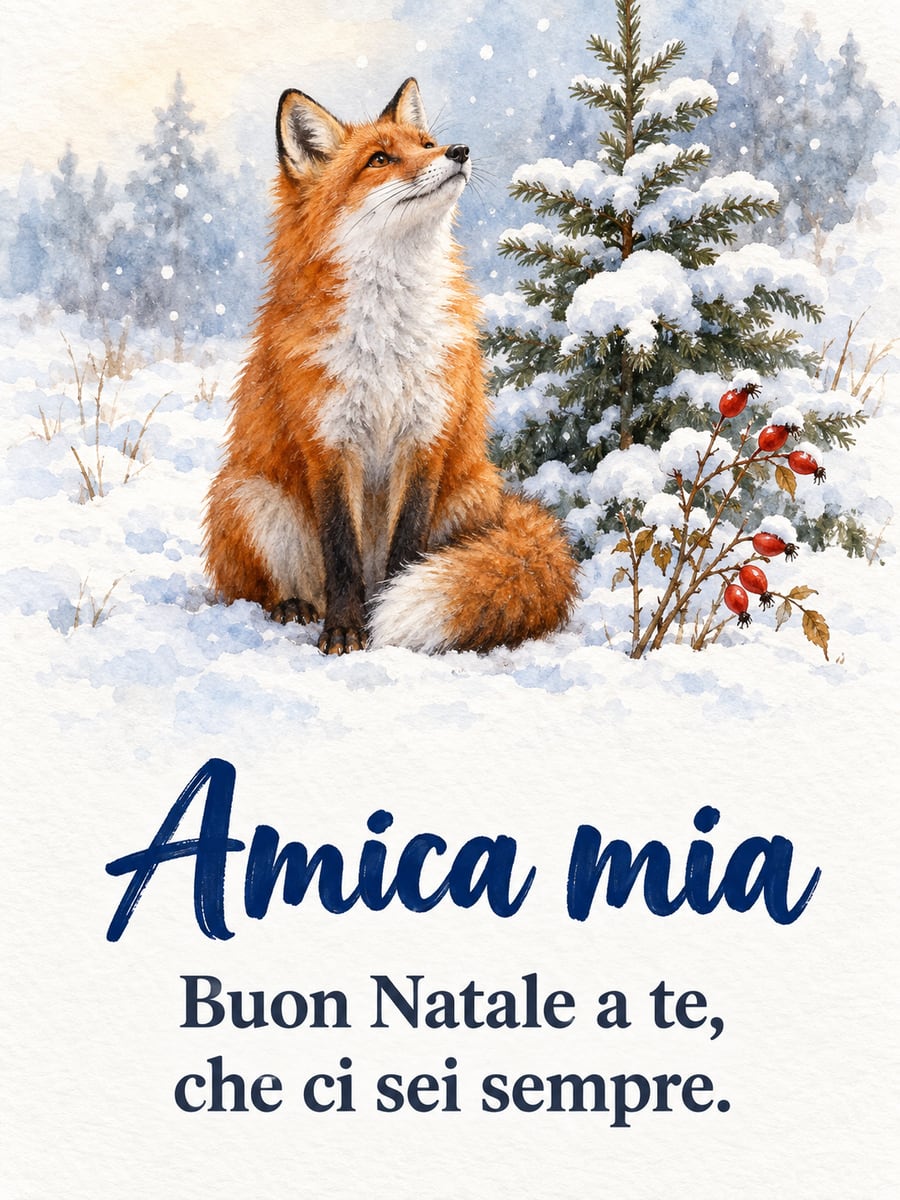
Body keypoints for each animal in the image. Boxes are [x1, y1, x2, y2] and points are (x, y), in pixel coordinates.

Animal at [203, 78, 579, 654]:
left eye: (426, 143)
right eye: (379, 159)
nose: (458, 151)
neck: (387, 339)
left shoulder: (426, 436)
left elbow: (408, 547)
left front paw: (384, 621)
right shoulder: (328, 441)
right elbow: (341, 553)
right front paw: (344, 631)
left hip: (467, 496)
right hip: (249, 496)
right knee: (267, 588)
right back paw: (295, 608)